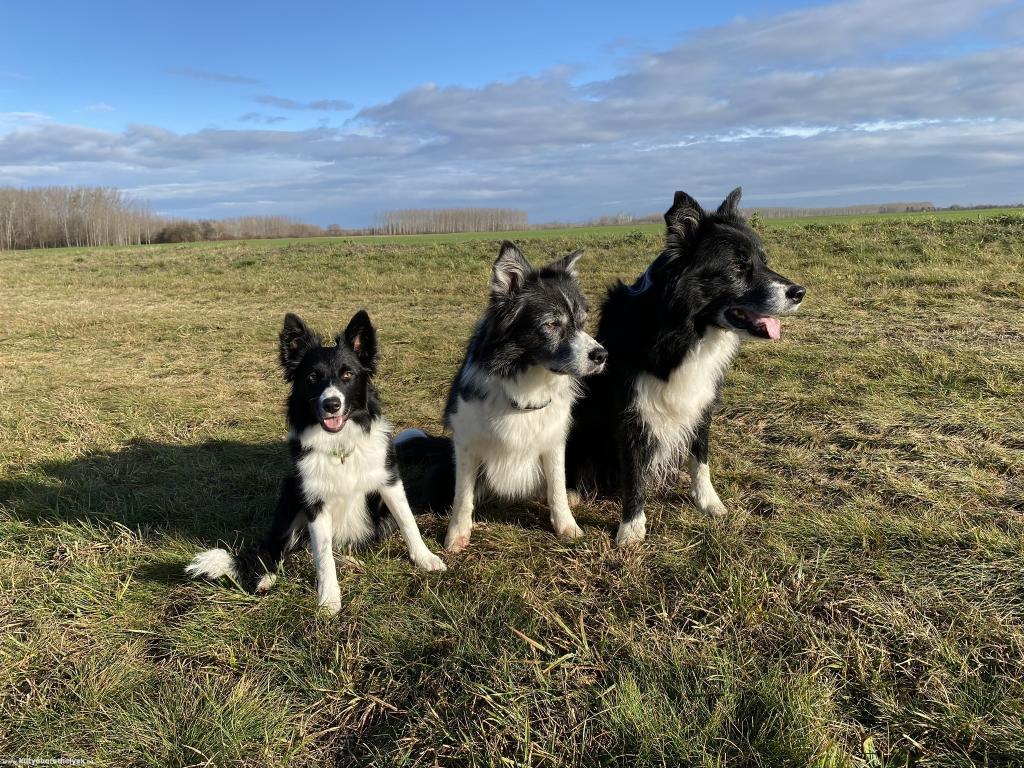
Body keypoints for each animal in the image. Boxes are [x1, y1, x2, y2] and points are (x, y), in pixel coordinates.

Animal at [186, 310, 445, 614]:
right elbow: (322, 556)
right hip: (290, 494)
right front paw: (329, 600)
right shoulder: (314, 501)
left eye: (348, 374)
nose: (331, 404)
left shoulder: (389, 482)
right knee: (275, 549)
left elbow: (408, 522)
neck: (339, 444)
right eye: (312, 377)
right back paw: (266, 578)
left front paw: (425, 558)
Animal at [566, 187, 806, 546]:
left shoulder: (701, 403)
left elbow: (700, 458)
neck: (684, 329)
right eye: (738, 266)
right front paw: (631, 529)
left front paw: (708, 502)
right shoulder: (631, 411)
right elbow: (634, 471)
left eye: (763, 261)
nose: (800, 292)